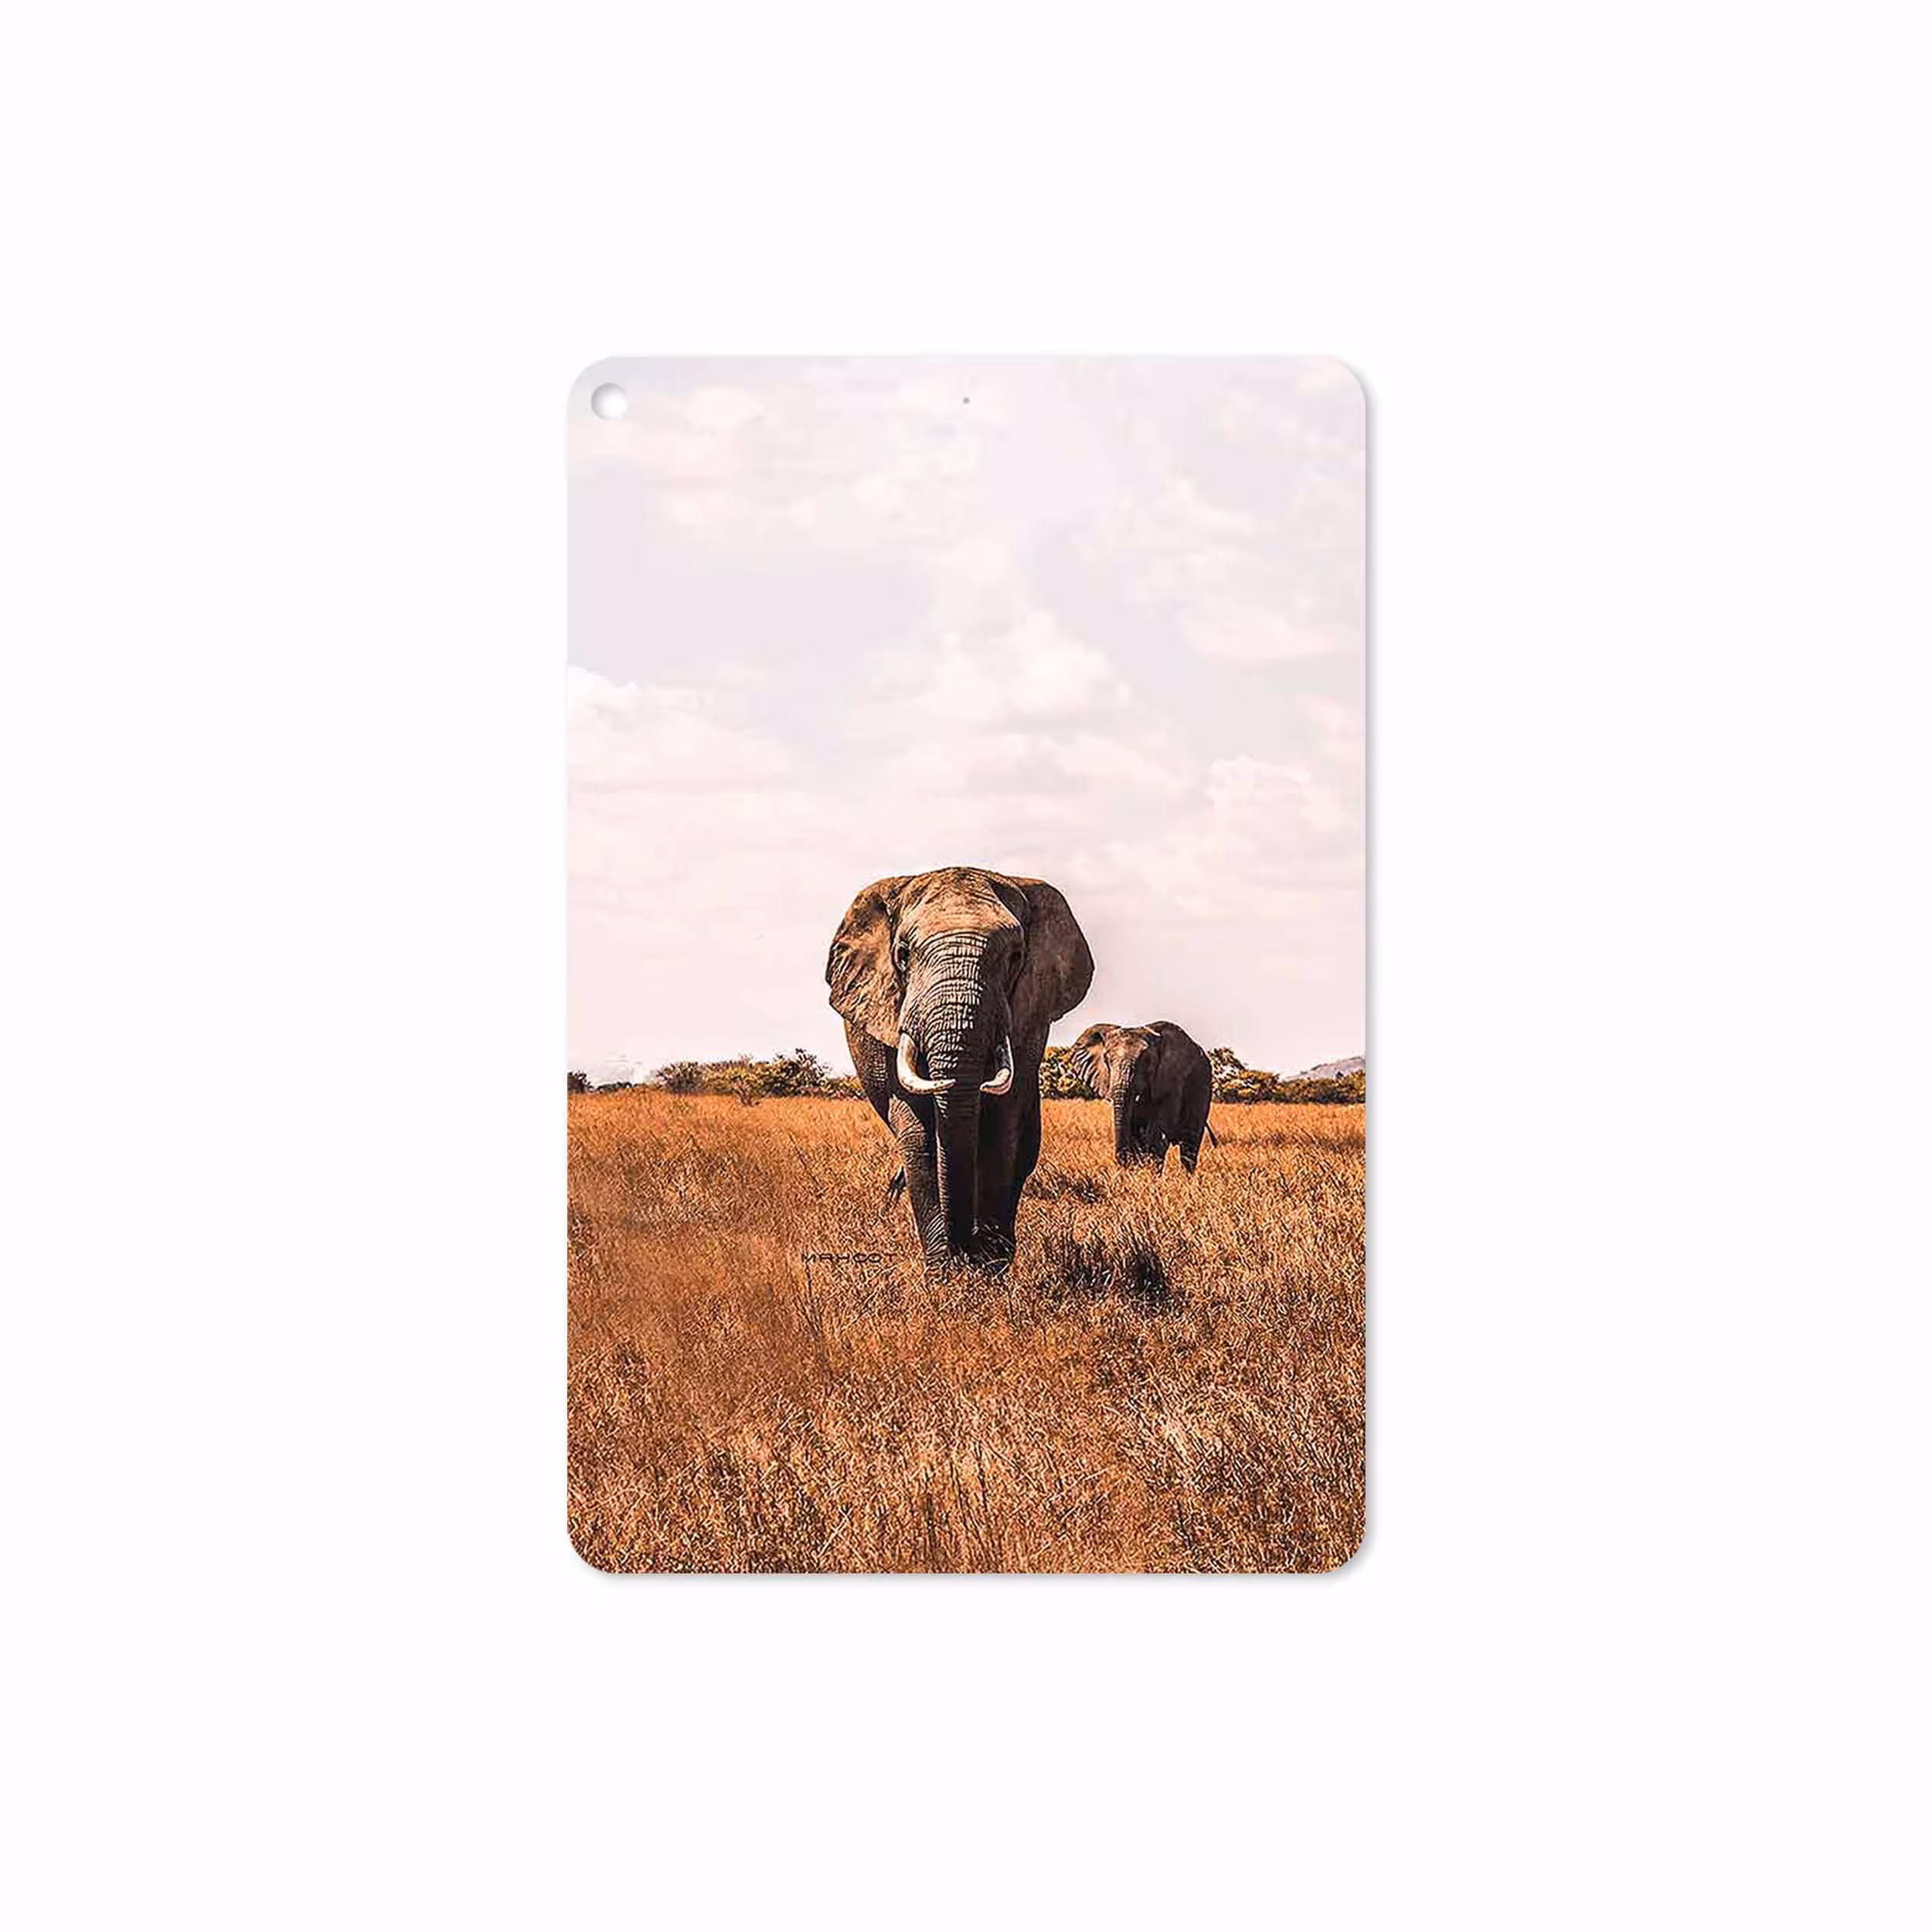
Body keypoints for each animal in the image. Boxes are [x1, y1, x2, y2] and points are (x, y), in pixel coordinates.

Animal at [827, 866, 1093, 1270]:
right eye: (903, 955)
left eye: (1016, 956)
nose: (965, 1249)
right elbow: (918, 1132)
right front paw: (945, 1273)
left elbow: (1002, 1125)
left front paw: (989, 1269)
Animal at [1071, 1021, 1216, 1172]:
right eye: (1106, 1060)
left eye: (1146, 1060)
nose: (1123, 1164)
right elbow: (1136, 1133)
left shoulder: (1172, 1080)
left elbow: (1157, 1134)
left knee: (1189, 1144)